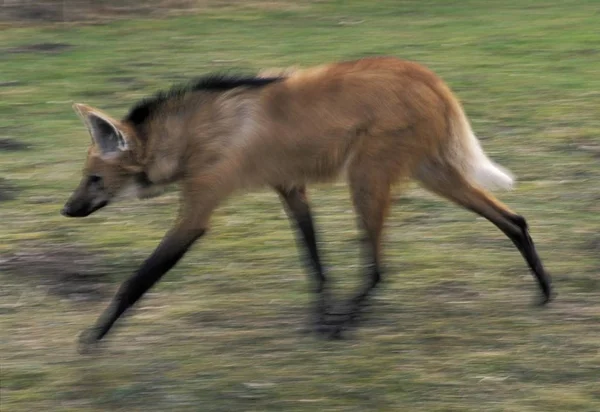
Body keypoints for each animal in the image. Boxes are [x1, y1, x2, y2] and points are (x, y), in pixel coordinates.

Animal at [62, 55, 552, 350]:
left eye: (94, 179)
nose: (67, 210)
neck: (190, 136)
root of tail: (426, 75)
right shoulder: (290, 188)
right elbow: (315, 262)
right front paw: (319, 317)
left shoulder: (199, 210)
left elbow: (137, 281)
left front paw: (93, 337)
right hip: (428, 172)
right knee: (514, 220)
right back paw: (545, 291)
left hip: (367, 178)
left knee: (378, 268)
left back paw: (346, 325)